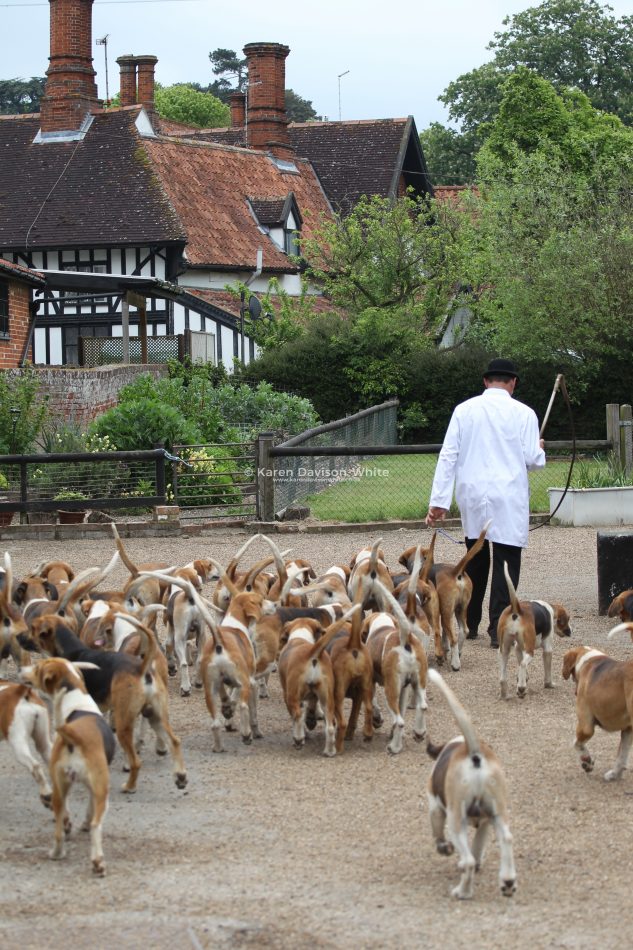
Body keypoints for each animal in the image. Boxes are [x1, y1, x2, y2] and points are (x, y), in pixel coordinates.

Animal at [20, 657, 115, 876]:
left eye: (36, 668)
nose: (21, 668)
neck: (76, 697)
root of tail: (74, 736)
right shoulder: (95, 788)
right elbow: (89, 811)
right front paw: (85, 824)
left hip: (59, 787)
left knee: (58, 827)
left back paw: (57, 852)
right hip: (102, 791)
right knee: (97, 825)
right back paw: (97, 861)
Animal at [426, 669, 517, 900]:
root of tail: (474, 753)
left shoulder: (435, 808)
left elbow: (438, 835)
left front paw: (444, 848)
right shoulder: (484, 823)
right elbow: (477, 850)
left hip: (457, 819)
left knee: (467, 860)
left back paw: (463, 891)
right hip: (497, 813)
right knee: (507, 839)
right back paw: (508, 882)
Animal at [497, 561, 572, 699]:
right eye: (567, 619)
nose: (570, 631)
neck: (549, 609)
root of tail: (517, 609)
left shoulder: (518, 648)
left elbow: (520, 665)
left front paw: (523, 678)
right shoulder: (547, 649)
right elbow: (546, 669)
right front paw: (549, 684)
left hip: (504, 649)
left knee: (504, 675)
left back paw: (505, 694)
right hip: (530, 650)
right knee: (523, 664)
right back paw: (521, 689)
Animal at [562, 636, 633, 782]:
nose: (575, 692)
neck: (590, 660)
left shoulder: (585, 727)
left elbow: (576, 743)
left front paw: (586, 761)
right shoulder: (628, 729)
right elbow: (622, 755)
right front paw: (615, 774)